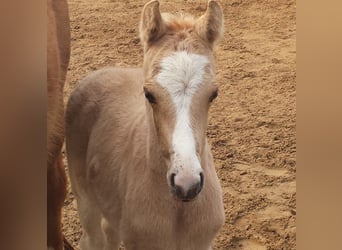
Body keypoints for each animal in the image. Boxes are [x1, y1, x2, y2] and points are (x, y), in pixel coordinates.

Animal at [67, 0, 226, 249]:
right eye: (149, 94)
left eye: (213, 94)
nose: (186, 184)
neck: (177, 211)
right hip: (84, 200)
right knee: (92, 239)